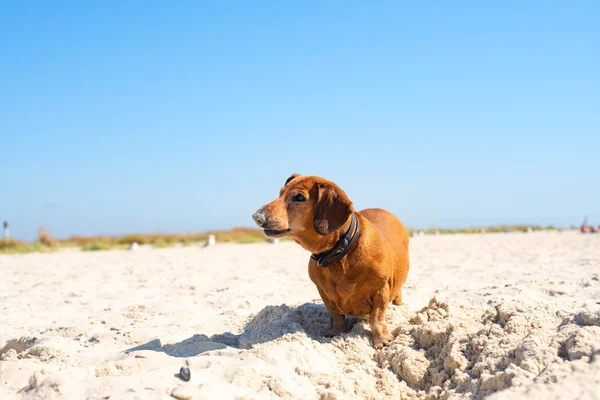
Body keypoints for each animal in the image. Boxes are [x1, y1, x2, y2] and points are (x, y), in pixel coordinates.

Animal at [251, 173, 410, 348]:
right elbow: (336, 316)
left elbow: (377, 317)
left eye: (299, 197)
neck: (339, 252)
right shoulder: (324, 292)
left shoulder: (380, 289)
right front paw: (337, 333)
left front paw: (381, 340)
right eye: (280, 193)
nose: (256, 217)